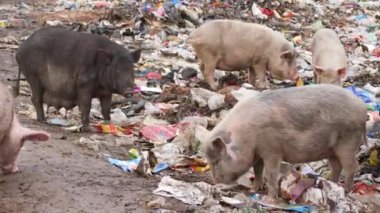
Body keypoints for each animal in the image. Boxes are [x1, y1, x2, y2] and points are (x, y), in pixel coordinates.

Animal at [14, 27, 142, 131]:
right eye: (116, 70)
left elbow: (106, 109)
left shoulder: (106, 93)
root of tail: (19, 50)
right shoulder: (83, 84)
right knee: (36, 98)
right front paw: (89, 129)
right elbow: (86, 106)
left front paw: (108, 124)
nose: (130, 91)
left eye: (132, 69)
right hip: (33, 75)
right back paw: (43, 120)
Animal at [200, 84, 366, 197]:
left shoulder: (272, 150)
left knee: (352, 166)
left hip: (348, 142)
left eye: (216, 161)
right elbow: (258, 171)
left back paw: (346, 191)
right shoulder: (258, 154)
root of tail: (362, 109)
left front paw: (271, 197)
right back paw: (331, 185)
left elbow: (270, 173)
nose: (216, 182)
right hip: (332, 150)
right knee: (337, 167)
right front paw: (254, 190)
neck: (245, 135)